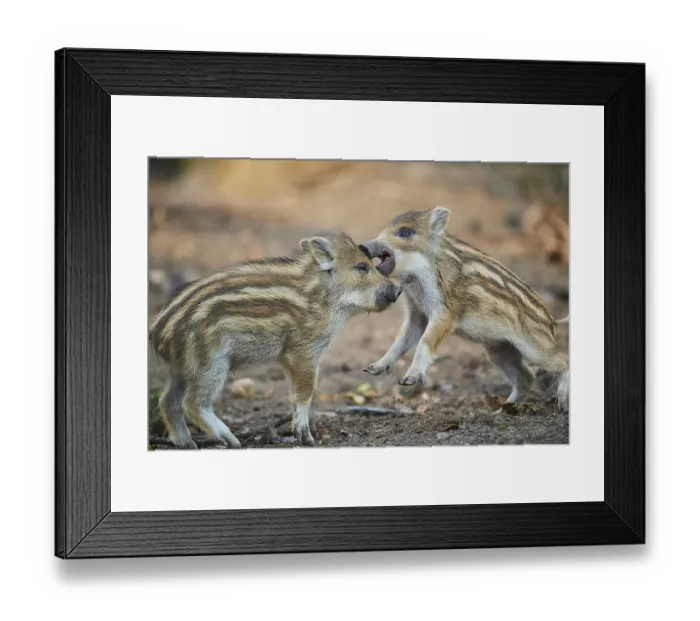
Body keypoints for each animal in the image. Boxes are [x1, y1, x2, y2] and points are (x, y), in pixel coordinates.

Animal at [149, 233, 403, 449]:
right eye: (361, 267)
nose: (398, 290)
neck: (323, 298)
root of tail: (156, 332)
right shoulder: (302, 351)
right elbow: (305, 391)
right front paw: (306, 438)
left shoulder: (294, 357)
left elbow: (309, 392)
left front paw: (312, 431)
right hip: (210, 363)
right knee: (192, 404)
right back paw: (231, 440)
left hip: (183, 368)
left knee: (167, 401)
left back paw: (187, 444)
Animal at [359, 207, 569, 411]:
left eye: (405, 232)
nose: (364, 247)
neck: (418, 275)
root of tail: (552, 321)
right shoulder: (417, 313)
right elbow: (400, 341)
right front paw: (372, 368)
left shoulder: (446, 312)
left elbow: (425, 342)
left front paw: (409, 380)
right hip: (500, 350)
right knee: (526, 376)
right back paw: (503, 408)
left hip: (535, 348)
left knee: (563, 360)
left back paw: (562, 404)